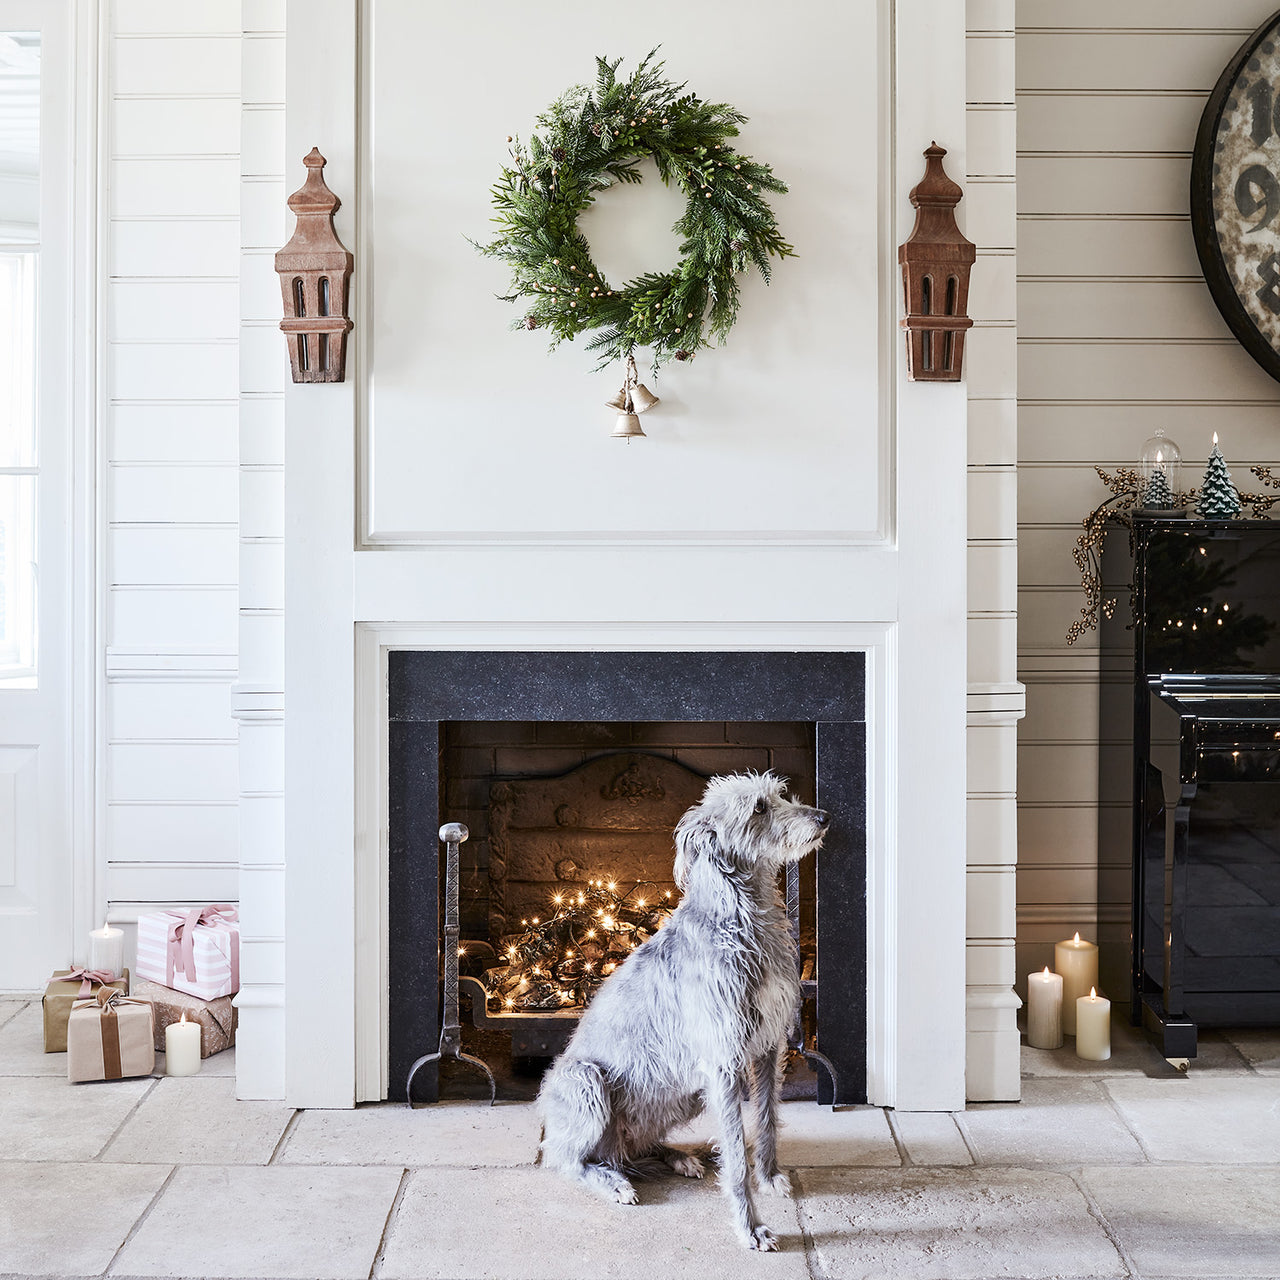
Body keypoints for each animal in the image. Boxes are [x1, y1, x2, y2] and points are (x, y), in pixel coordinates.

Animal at [537, 768, 829, 1249]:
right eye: (759, 808)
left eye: (781, 794)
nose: (823, 817)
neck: (741, 919)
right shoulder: (723, 1061)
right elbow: (736, 1153)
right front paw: (751, 1227)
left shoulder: (768, 1047)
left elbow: (767, 1118)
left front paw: (769, 1176)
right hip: (585, 1082)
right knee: (569, 1160)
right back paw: (613, 1182)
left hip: (684, 1091)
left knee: (632, 1147)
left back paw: (677, 1157)